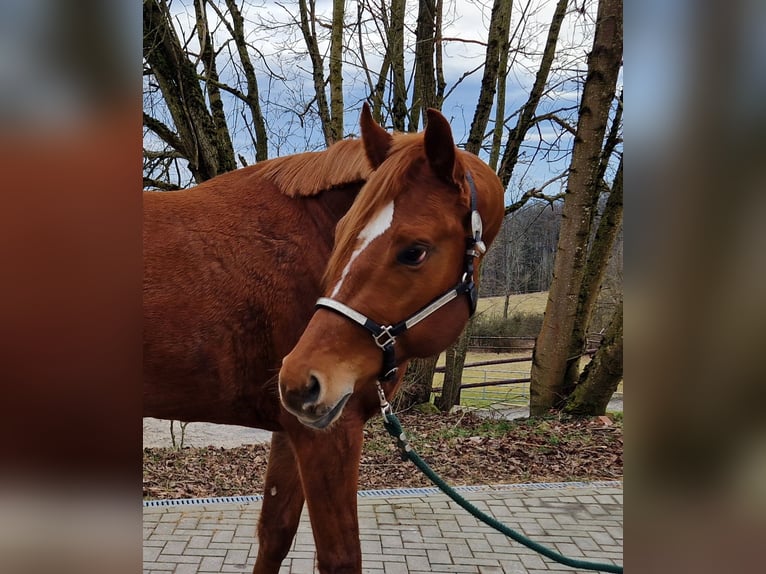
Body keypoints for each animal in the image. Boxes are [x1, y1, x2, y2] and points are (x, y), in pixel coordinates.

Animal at [146, 104, 504, 574]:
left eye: (414, 251)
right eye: (340, 235)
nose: (302, 378)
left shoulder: (293, 426)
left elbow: (275, 532)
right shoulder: (329, 433)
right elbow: (340, 556)